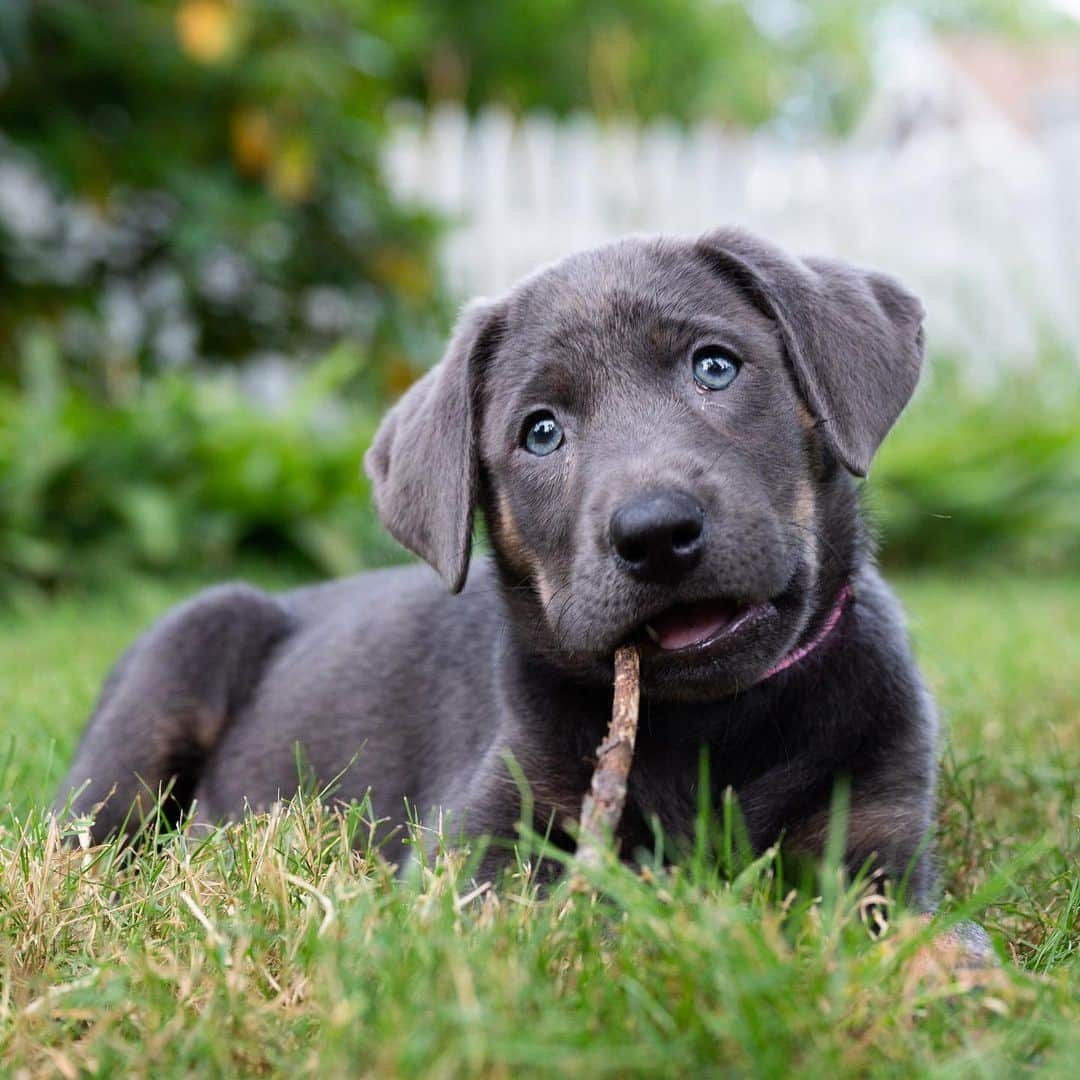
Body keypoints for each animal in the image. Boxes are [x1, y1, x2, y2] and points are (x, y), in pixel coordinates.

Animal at [54, 227, 941, 902]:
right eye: (540, 432)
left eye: (715, 366)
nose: (655, 532)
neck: (710, 725)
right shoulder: (475, 841)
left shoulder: (879, 835)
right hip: (170, 673)